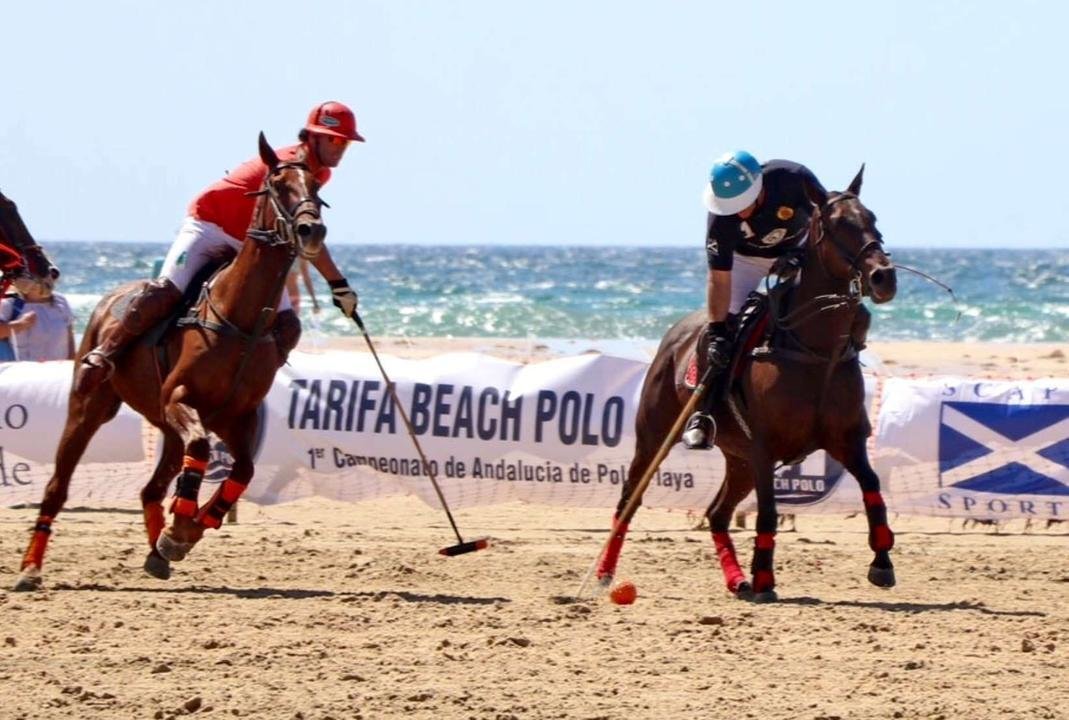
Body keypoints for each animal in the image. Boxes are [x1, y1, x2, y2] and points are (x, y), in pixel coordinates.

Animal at [14, 134, 324, 589]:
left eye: (316, 188)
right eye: (279, 184)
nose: (312, 229)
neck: (240, 319)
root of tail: (111, 297)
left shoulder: (238, 415)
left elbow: (244, 471)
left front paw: (187, 530)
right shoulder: (179, 396)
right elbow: (204, 449)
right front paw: (181, 528)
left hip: (162, 423)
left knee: (152, 488)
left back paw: (157, 551)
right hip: (89, 407)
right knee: (57, 485)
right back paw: (31, 568)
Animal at [598, 165, 897, 598]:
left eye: (872, 218)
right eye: (838, 224)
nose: (883, 277)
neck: (814, 350)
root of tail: (675, 333)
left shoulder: (847, 439)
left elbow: (873, 490)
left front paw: (882, 562)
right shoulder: (764, 448)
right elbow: (768, 513)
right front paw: (765, 579)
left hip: (737, 459)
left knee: (717, 513)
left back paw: (736, 579)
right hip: (656, 437)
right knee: (628, 502)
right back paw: (604, 574)